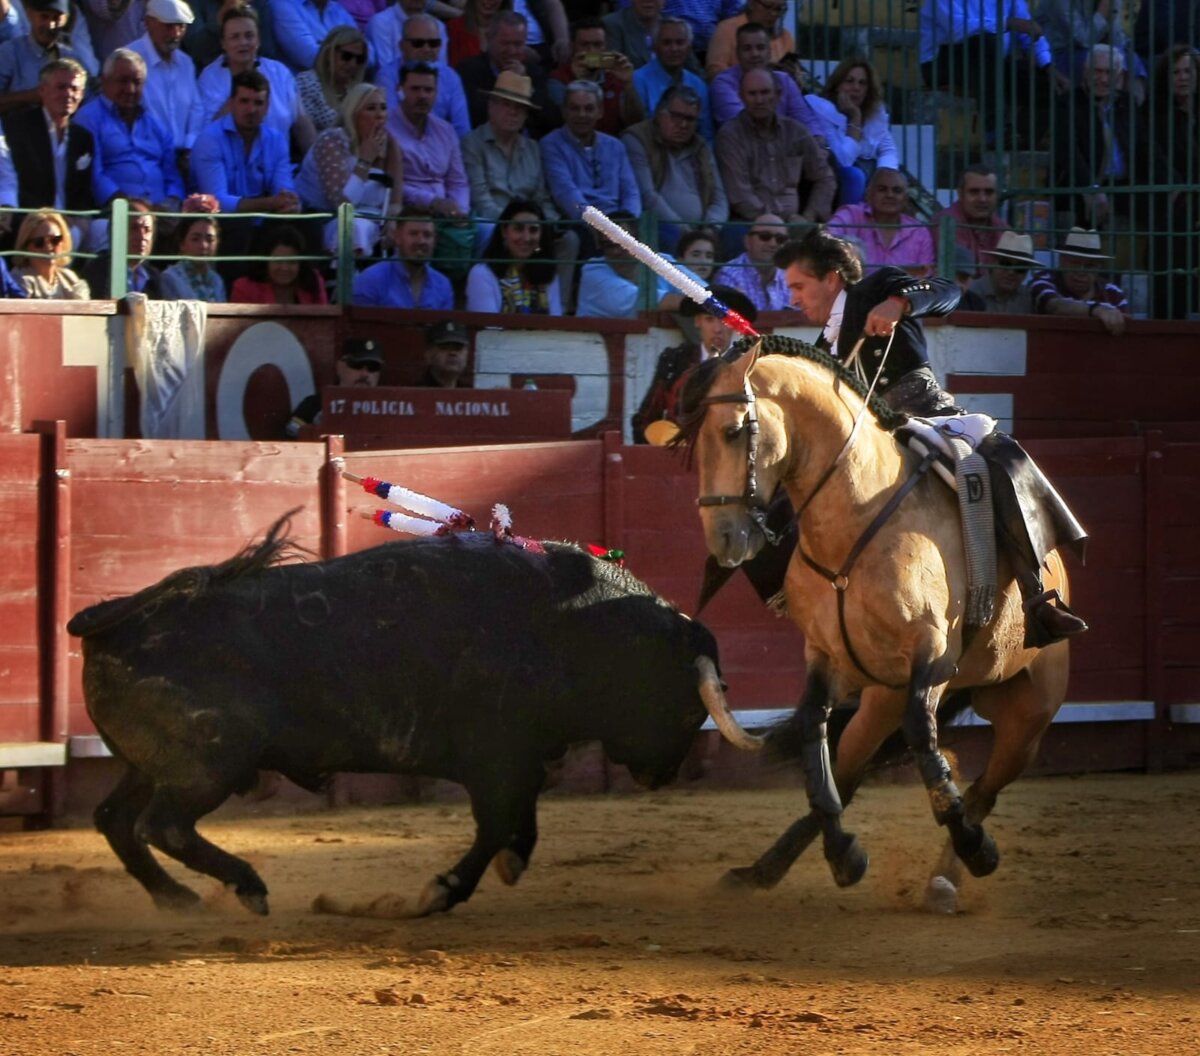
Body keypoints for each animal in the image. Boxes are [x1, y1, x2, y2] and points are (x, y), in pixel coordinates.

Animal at [67, 514, 761, 917]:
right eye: (684, 703)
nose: (660, 775)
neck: (578, 624)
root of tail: (114, 617)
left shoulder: (521, 760)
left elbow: (522, 823)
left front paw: (509, 865)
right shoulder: (497, 761)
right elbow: (497, 825)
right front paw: (441, 891)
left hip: (152, 763)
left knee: (115, 819)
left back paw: (177, 898)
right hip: (208, 763)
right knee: (163, 825)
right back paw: (246, 887)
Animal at [679, 336, 1073, 913]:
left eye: (732, 431)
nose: (723, 539)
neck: (857, 517)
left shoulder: (932, 656)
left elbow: (924, 739)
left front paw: (976, 848)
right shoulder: (826, 658)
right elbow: (814, 736)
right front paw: (843, 854)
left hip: (1031, 715)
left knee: (984, 788)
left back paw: (950, 873)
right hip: (883, 700)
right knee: (848, 772)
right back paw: (769, 868)